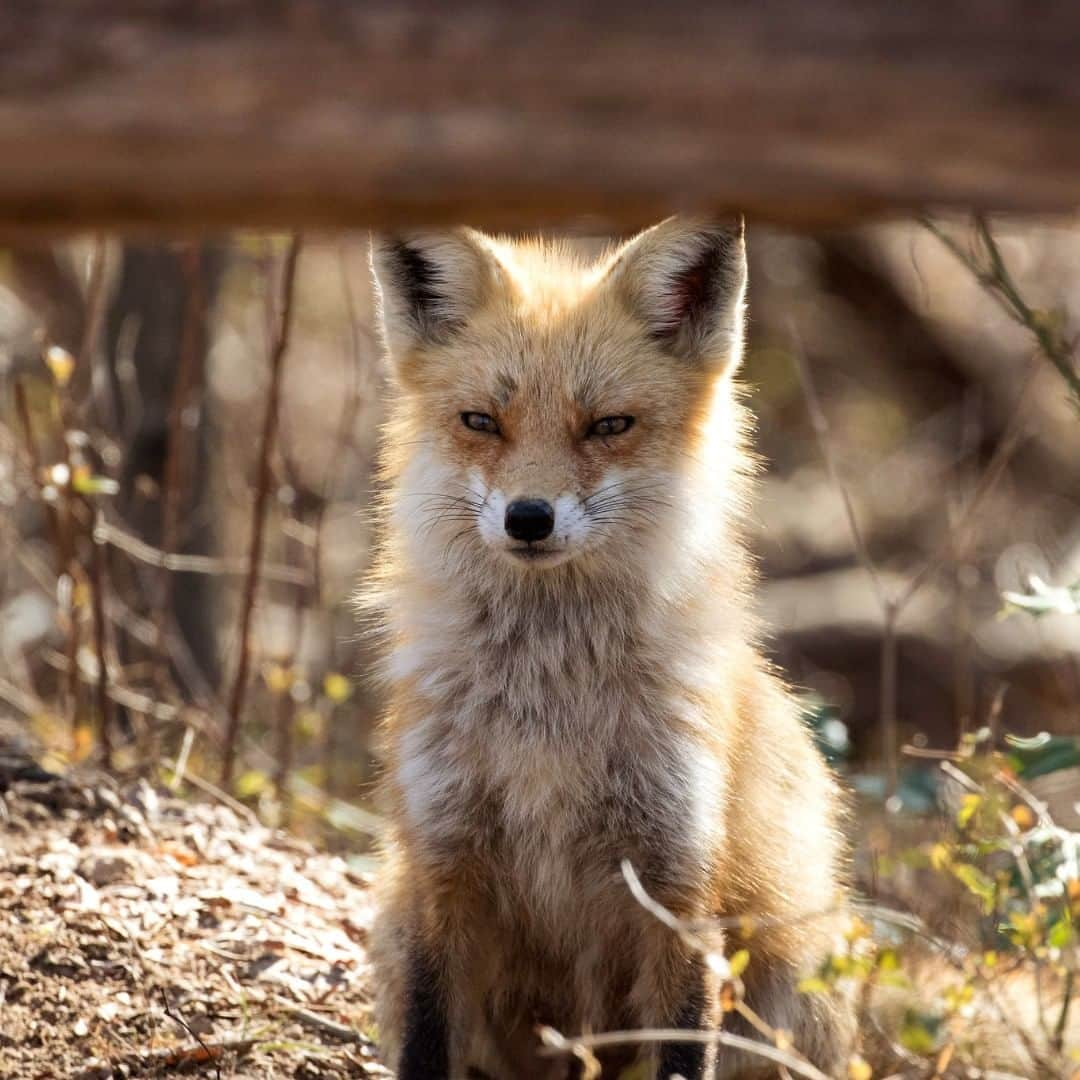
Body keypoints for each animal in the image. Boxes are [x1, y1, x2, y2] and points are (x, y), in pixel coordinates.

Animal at [367, 214, 855, 1075]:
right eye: (481, 421)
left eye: (608, 426)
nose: (529, 517)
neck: (549, 716)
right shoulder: (442, 864)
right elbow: (427, 1044)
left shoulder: (678, 879)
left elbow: (683, 1048)